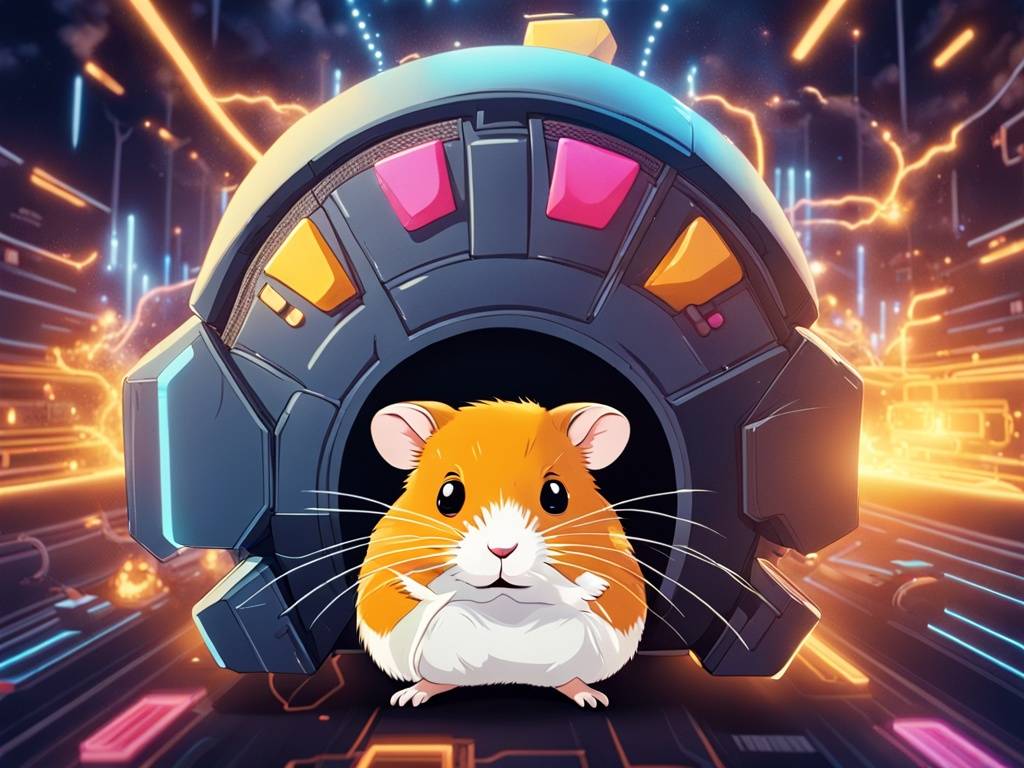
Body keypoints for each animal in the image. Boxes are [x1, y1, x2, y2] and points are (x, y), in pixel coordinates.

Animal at [355, 399, 645, 708]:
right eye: (448, 495)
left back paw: (590, 697)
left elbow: (572, 588)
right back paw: (411, 695)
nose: (502, 549)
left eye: (555, 495)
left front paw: (589, 585)